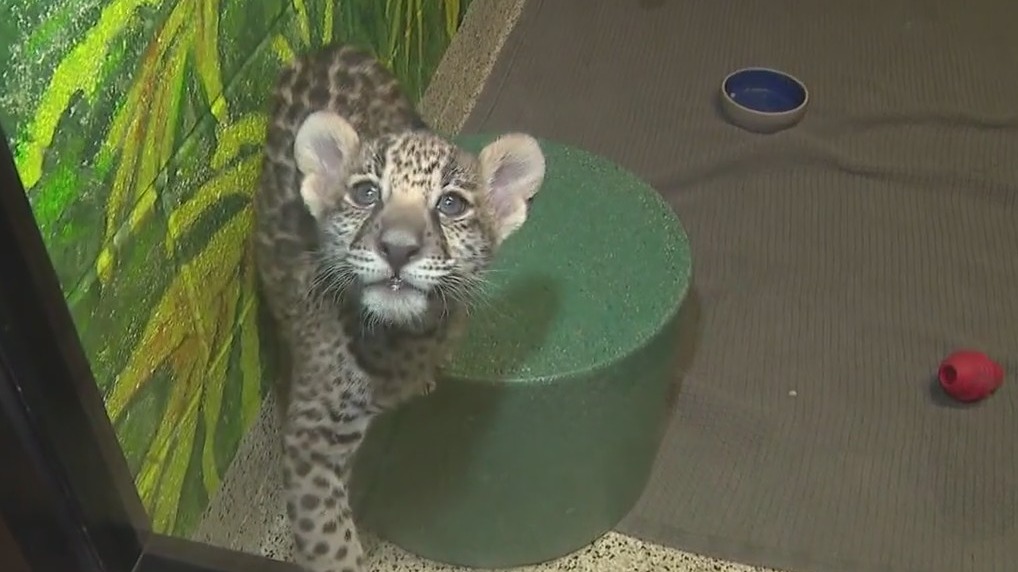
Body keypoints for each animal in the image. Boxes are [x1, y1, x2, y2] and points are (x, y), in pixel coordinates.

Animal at [251, 42, 546, 572]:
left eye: (451, 204)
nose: (398, 247)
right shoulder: (312, 439)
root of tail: (327, 48)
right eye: (365, 193)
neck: (402, 338)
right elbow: (329, 541)